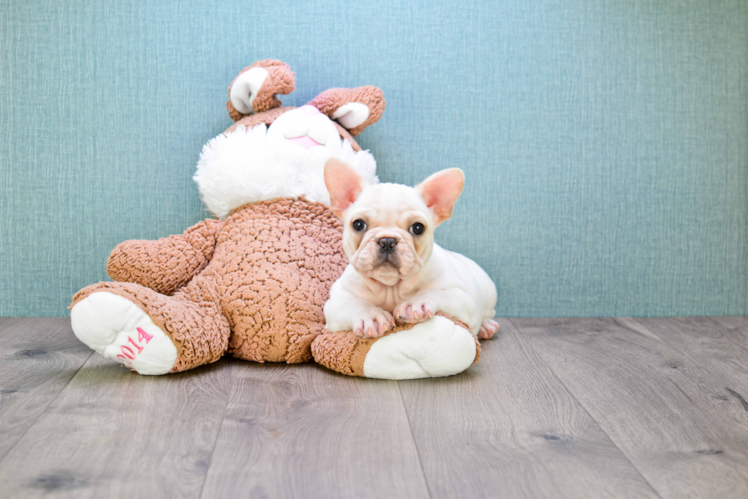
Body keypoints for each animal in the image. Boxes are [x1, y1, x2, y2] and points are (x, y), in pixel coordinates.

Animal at [324, 159, 500, 340]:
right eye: (358, 224)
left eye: (418, 228)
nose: (387, 241)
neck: (391, 287)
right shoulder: (337, 300)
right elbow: (355, 303)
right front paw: (370, 316)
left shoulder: (462, 297)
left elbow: (437, 293)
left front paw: (416, 303)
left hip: (488, 291)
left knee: (488, 312)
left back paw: (486, 326)